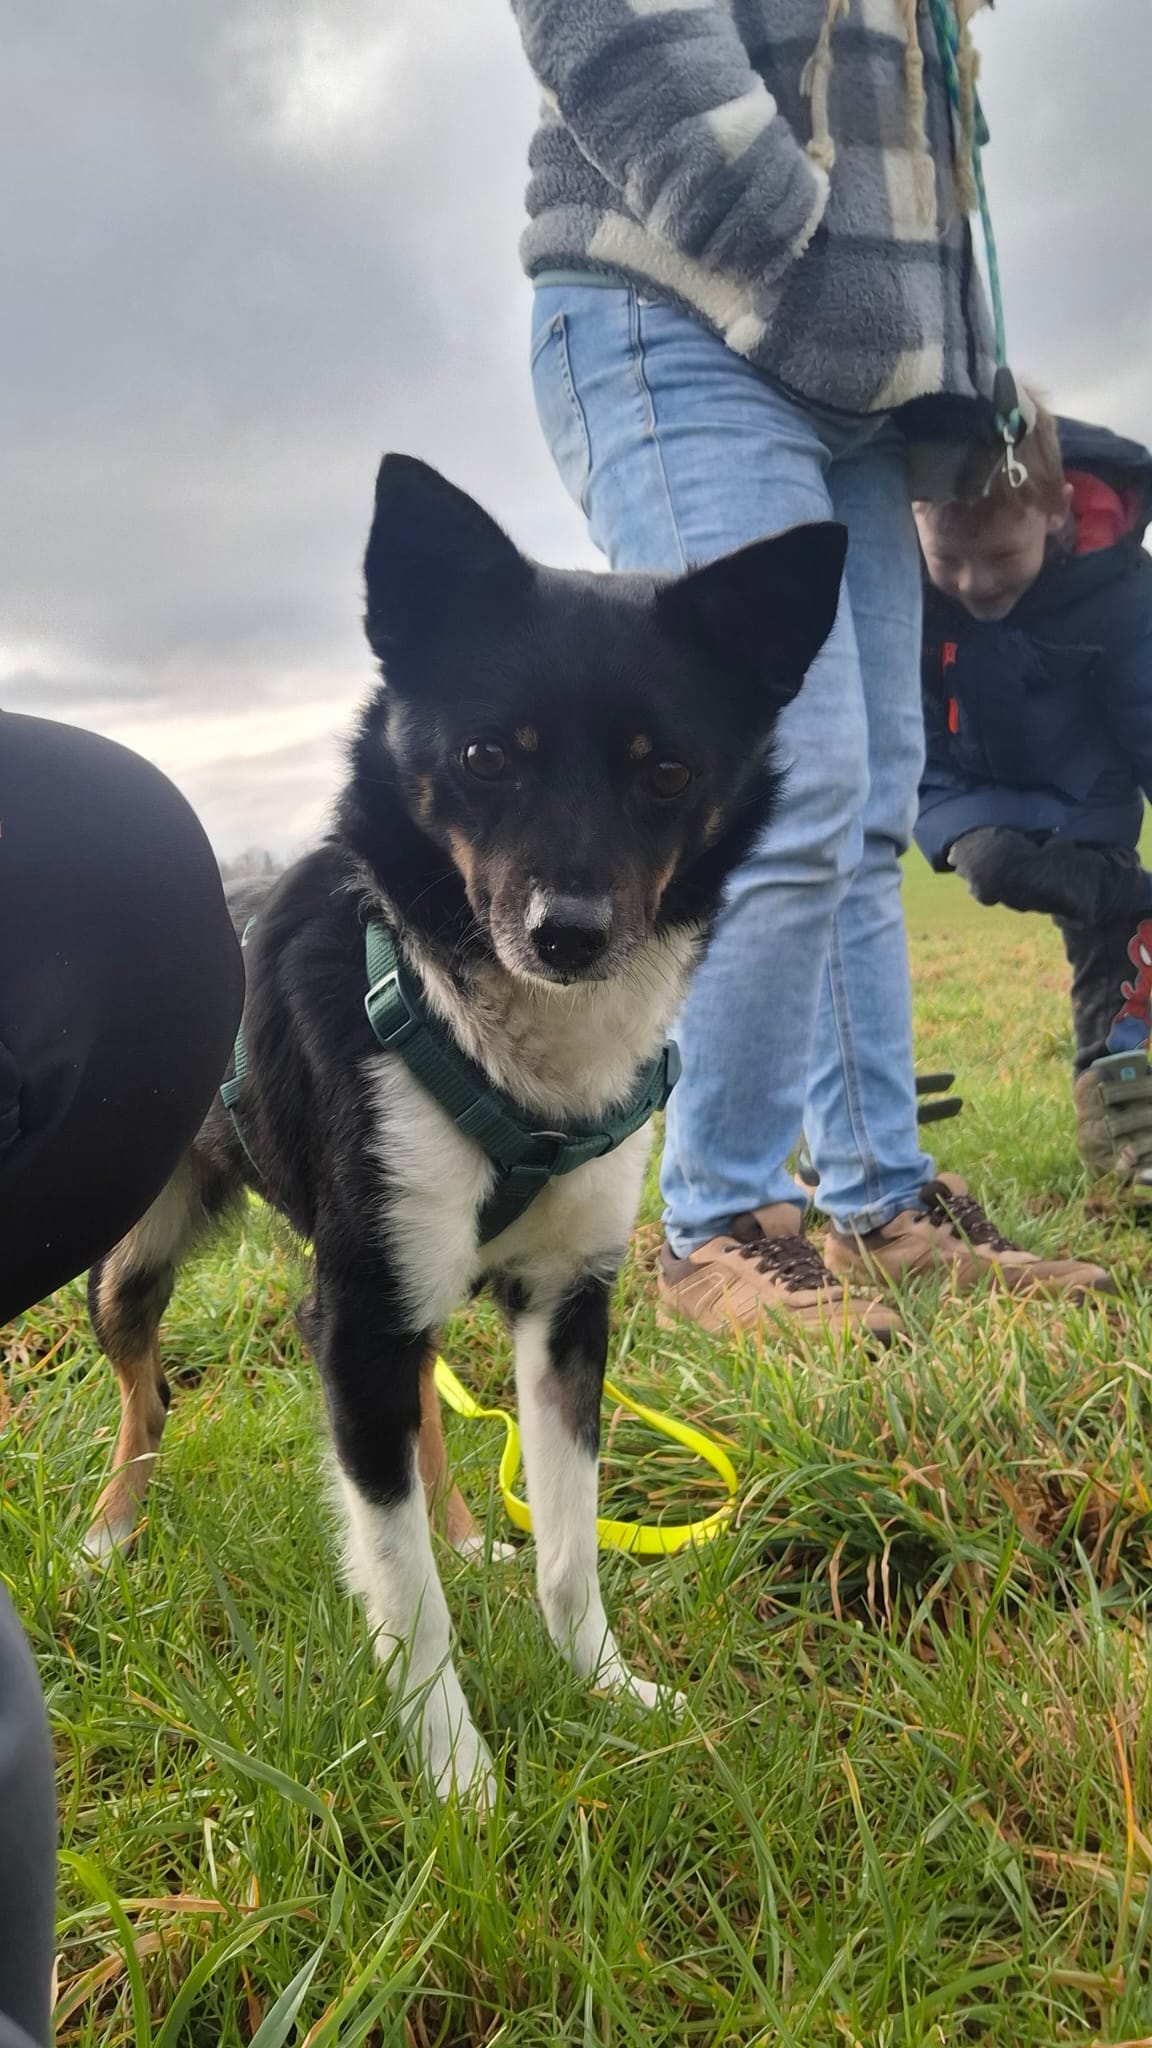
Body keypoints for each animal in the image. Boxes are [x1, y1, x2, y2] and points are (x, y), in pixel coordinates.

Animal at [84, 455, 845, 1803]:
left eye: (665, 772)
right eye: (489, 754)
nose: (570, 934)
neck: (508, 1046)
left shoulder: (567, 1309)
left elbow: (571, 1545)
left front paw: (605, 1687)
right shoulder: (357, 1322)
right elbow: (406, 1597)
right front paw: (457, 1784)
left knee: (428, 1418)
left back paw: (460, 1528)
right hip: (146, 1246)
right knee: (143, 1381)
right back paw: (115, 1532)